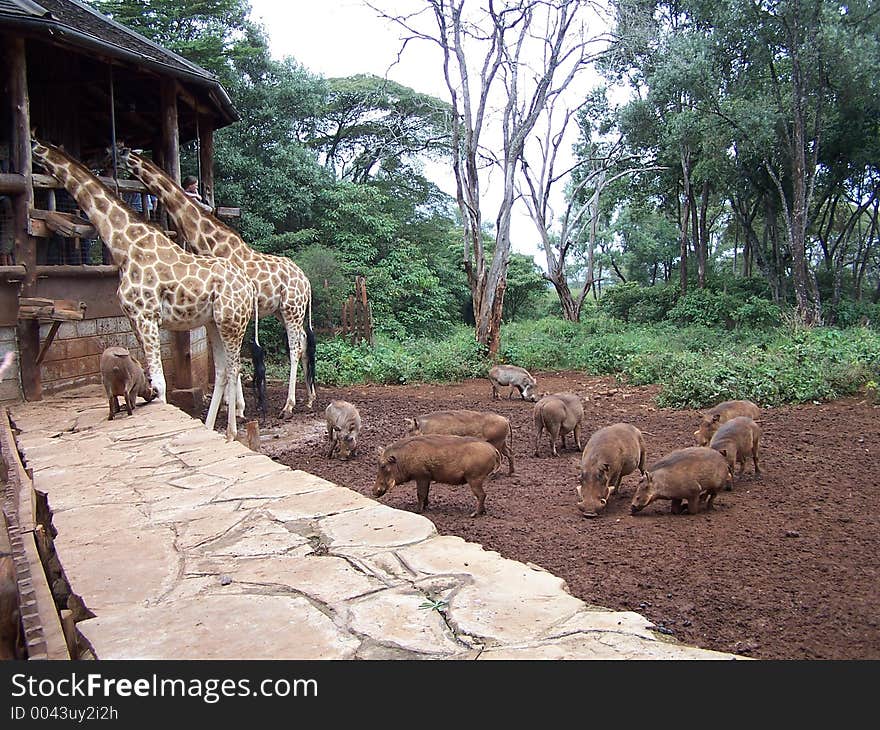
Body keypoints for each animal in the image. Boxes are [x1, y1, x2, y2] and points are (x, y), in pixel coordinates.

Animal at [35, 139, 262, 440]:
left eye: (107, 150)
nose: (91, 160)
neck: (125, 246)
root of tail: (248, 286)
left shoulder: (146, 316)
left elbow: (160, 383)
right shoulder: (134, 319)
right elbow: (152, 379)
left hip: (231, 321)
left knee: (234, 367)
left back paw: (231, 431)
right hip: (214, 322)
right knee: (224, 370)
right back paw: (210, 426)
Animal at [116, 146, 316, 416]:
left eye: (119, 152)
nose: (103, 160)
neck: (211, 242)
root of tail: (306, 280)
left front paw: (237, 407)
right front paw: (232, 405)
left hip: (291, 309)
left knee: (295, 348)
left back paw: (288, 405)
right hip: (284, 311)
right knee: (304, 343)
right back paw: (310, 398)